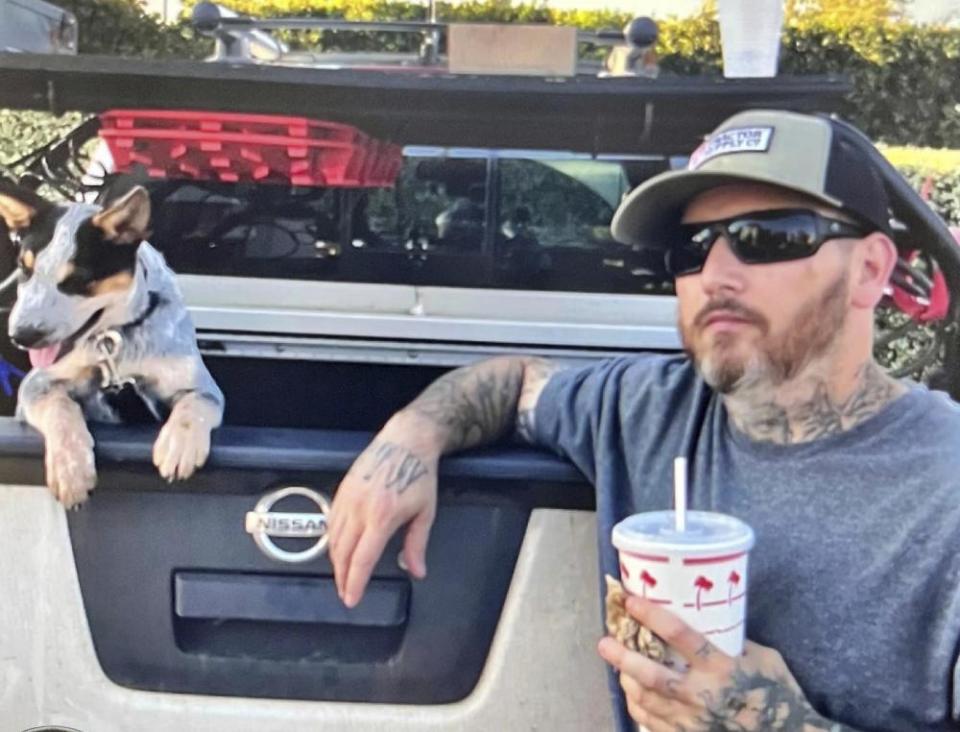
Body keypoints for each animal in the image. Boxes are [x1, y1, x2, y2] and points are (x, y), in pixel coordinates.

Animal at [0, 182, 224, 508]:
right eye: (24, 268)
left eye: (78, 278)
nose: (21, 336)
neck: (116, 343)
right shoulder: (37, 384)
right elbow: (61, 407)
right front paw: (71, 470)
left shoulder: (201, 386)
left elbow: (195, 405)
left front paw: (179, 446)